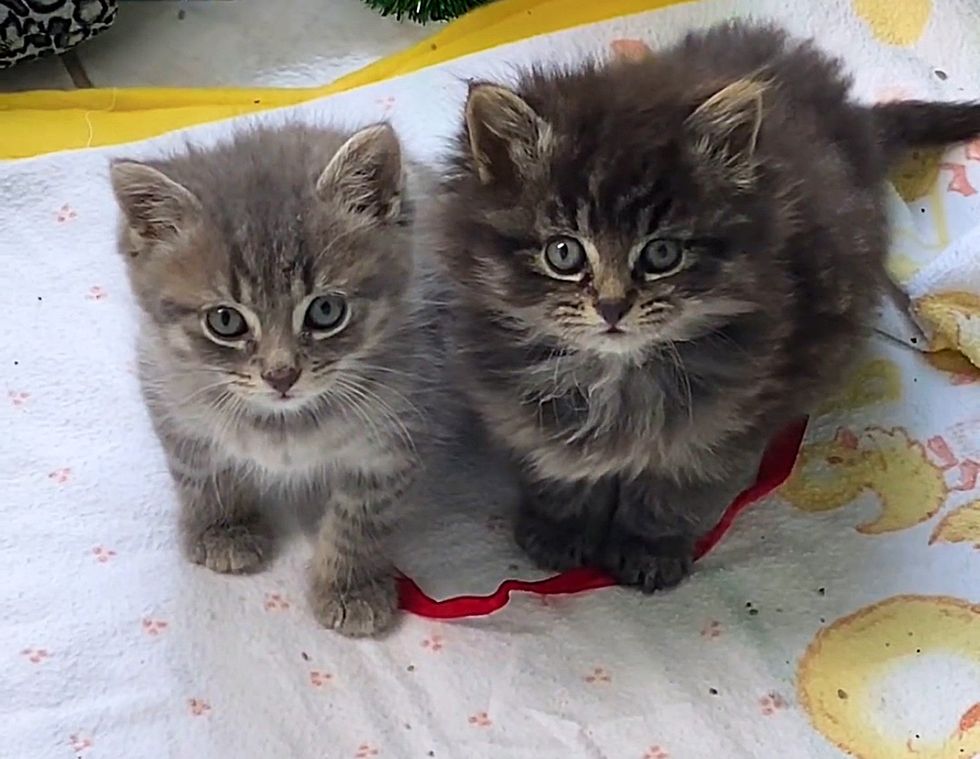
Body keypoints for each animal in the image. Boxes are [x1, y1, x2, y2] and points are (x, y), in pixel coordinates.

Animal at [107, 123, 436, 636]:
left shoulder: (394, 432)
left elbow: (362, 517)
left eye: (326, 310)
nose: (281, 374)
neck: (283, 423)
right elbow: (199, 470)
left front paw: (350, 586)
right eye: (225, 321)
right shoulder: (167, 390)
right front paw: (223, 528)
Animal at [434, 20, 980, 592]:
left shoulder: (728, 417)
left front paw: (648, 547)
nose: (612, 307)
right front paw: (562, 529)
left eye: (661, 253)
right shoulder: (522, 406)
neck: (615, 379)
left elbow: (674, 489)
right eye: (563, 253)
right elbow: (560, 467)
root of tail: (850, 117)